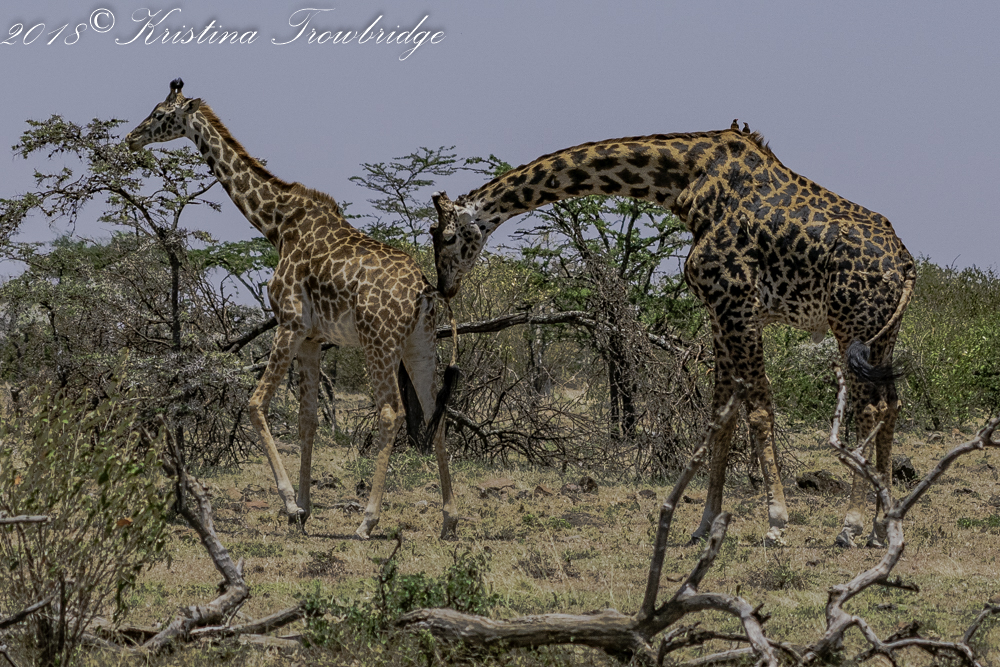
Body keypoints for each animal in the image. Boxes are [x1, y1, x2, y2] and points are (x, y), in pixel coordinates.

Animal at [125, 78, 459, 539]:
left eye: (158, 114)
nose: (130, 138)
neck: (276, 223)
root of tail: (424, 292)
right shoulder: (312, 338)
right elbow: (308, 420)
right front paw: (304, 508)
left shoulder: (288, 322)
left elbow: (254, 404)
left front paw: (289, 504)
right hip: (420, 345)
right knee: (435, 412)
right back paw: (449, 519)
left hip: (379, 343)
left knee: (392, 413)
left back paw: (367, 520)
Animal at [431, 125, 915, 547]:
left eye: (447, 236)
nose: (445, 287)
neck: (686, 181)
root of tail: (906, 266)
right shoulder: (720, 310)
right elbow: (721, 414)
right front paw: (704, 524)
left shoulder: (737, 302)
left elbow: (758, 409)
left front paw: (777, 523)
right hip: (881, 334)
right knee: (892, 404)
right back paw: (882, 527)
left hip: (852, 324)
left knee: (869, 407)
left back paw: (851, 526)